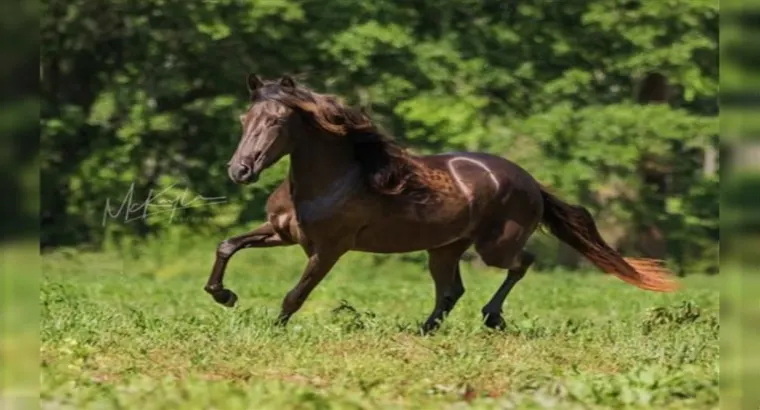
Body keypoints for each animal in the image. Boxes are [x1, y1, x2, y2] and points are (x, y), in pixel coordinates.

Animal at [203, 74, 678, 333]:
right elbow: (227, 245)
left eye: (277, 120)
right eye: (245, 119)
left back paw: (491, 317)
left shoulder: (329, 249)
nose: (239, 170)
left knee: (520, 264)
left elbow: (295, 294)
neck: (331, 180)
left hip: (493, 246)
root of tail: (529, 181)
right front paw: (224, 296)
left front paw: (273, 330)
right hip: (444, 248)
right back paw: (427, 328)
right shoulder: (283, 233)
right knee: (451, 290)